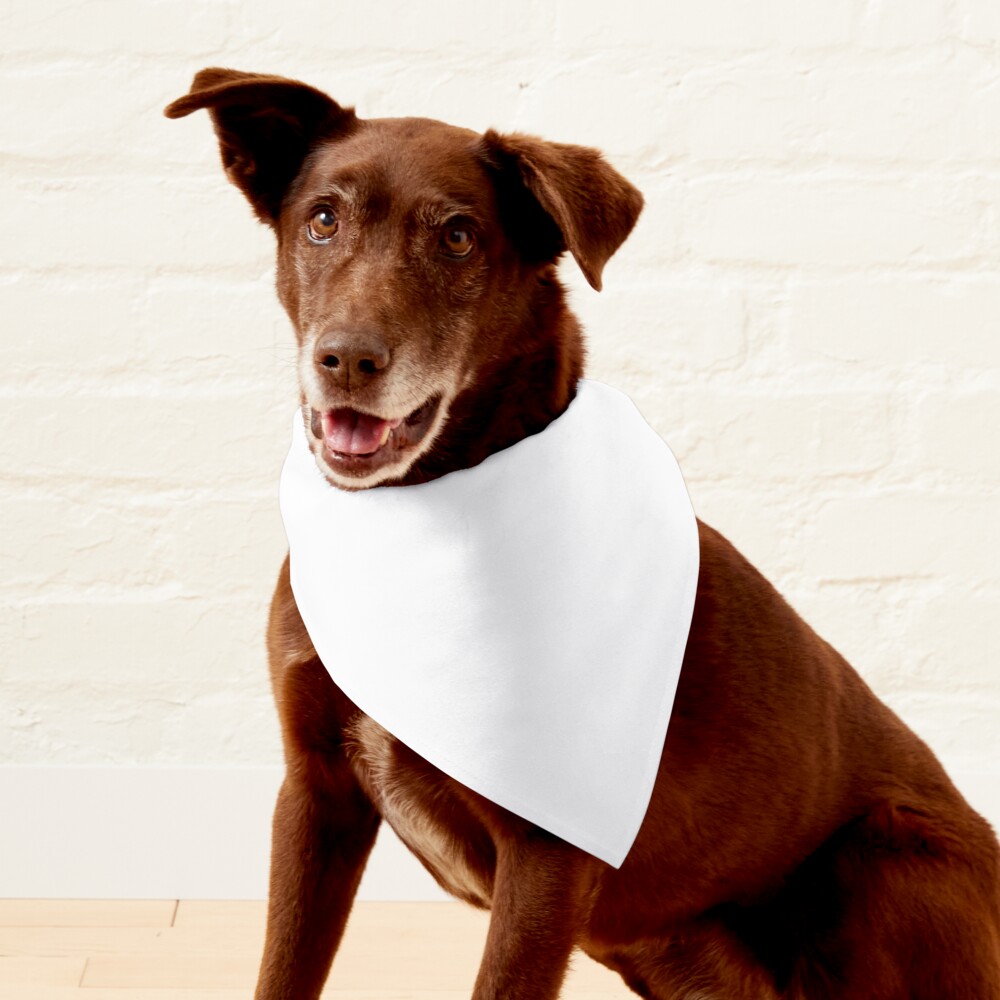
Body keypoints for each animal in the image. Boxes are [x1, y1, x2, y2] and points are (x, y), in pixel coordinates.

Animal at [166, 70, 1000, 1000]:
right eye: (322, 219)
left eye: (458, 237)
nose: (346, 360)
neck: (419, 517)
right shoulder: (316, 794)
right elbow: (282, 969)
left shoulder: (547, 853)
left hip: (885, 857)